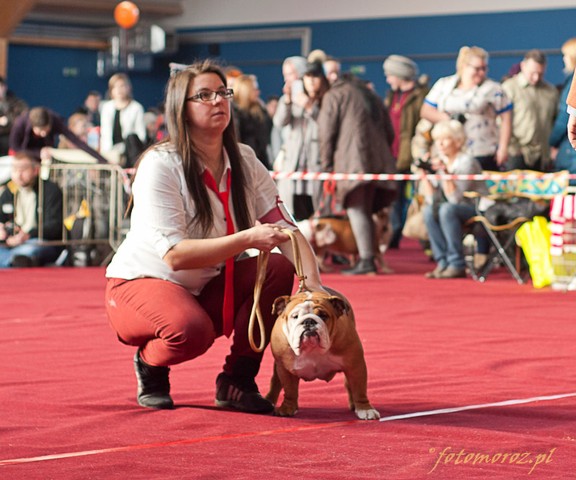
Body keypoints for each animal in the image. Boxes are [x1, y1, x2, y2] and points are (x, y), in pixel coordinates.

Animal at [266, 289, 380, 420]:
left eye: (323, 315)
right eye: (295, 316)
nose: (308, 321)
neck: (312, 349)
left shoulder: (355, 365)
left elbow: (359, 388)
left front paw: (365, 409)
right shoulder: (286, 370)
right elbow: (290, 390)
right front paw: (287, 408)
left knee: (349, 385)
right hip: (278, 367)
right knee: (275, 382)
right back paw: (269, 400)